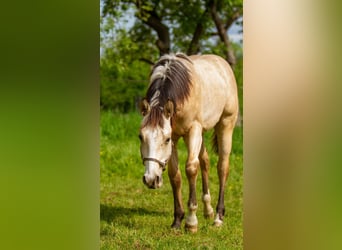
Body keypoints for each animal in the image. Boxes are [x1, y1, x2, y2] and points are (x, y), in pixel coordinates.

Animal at [138, 52, 239, 232]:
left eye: (166, 139)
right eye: (140, 137)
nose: (151, 179)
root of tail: (222, 63)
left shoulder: (192, 130)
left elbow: (191, 169)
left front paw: (191, 222)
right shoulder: (177, 136)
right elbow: (175, 175)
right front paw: (177, 220)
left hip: (225, 125)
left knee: (222, 167)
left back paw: (218, 217)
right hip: (202, 133)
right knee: (205, 162)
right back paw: (208, 210)